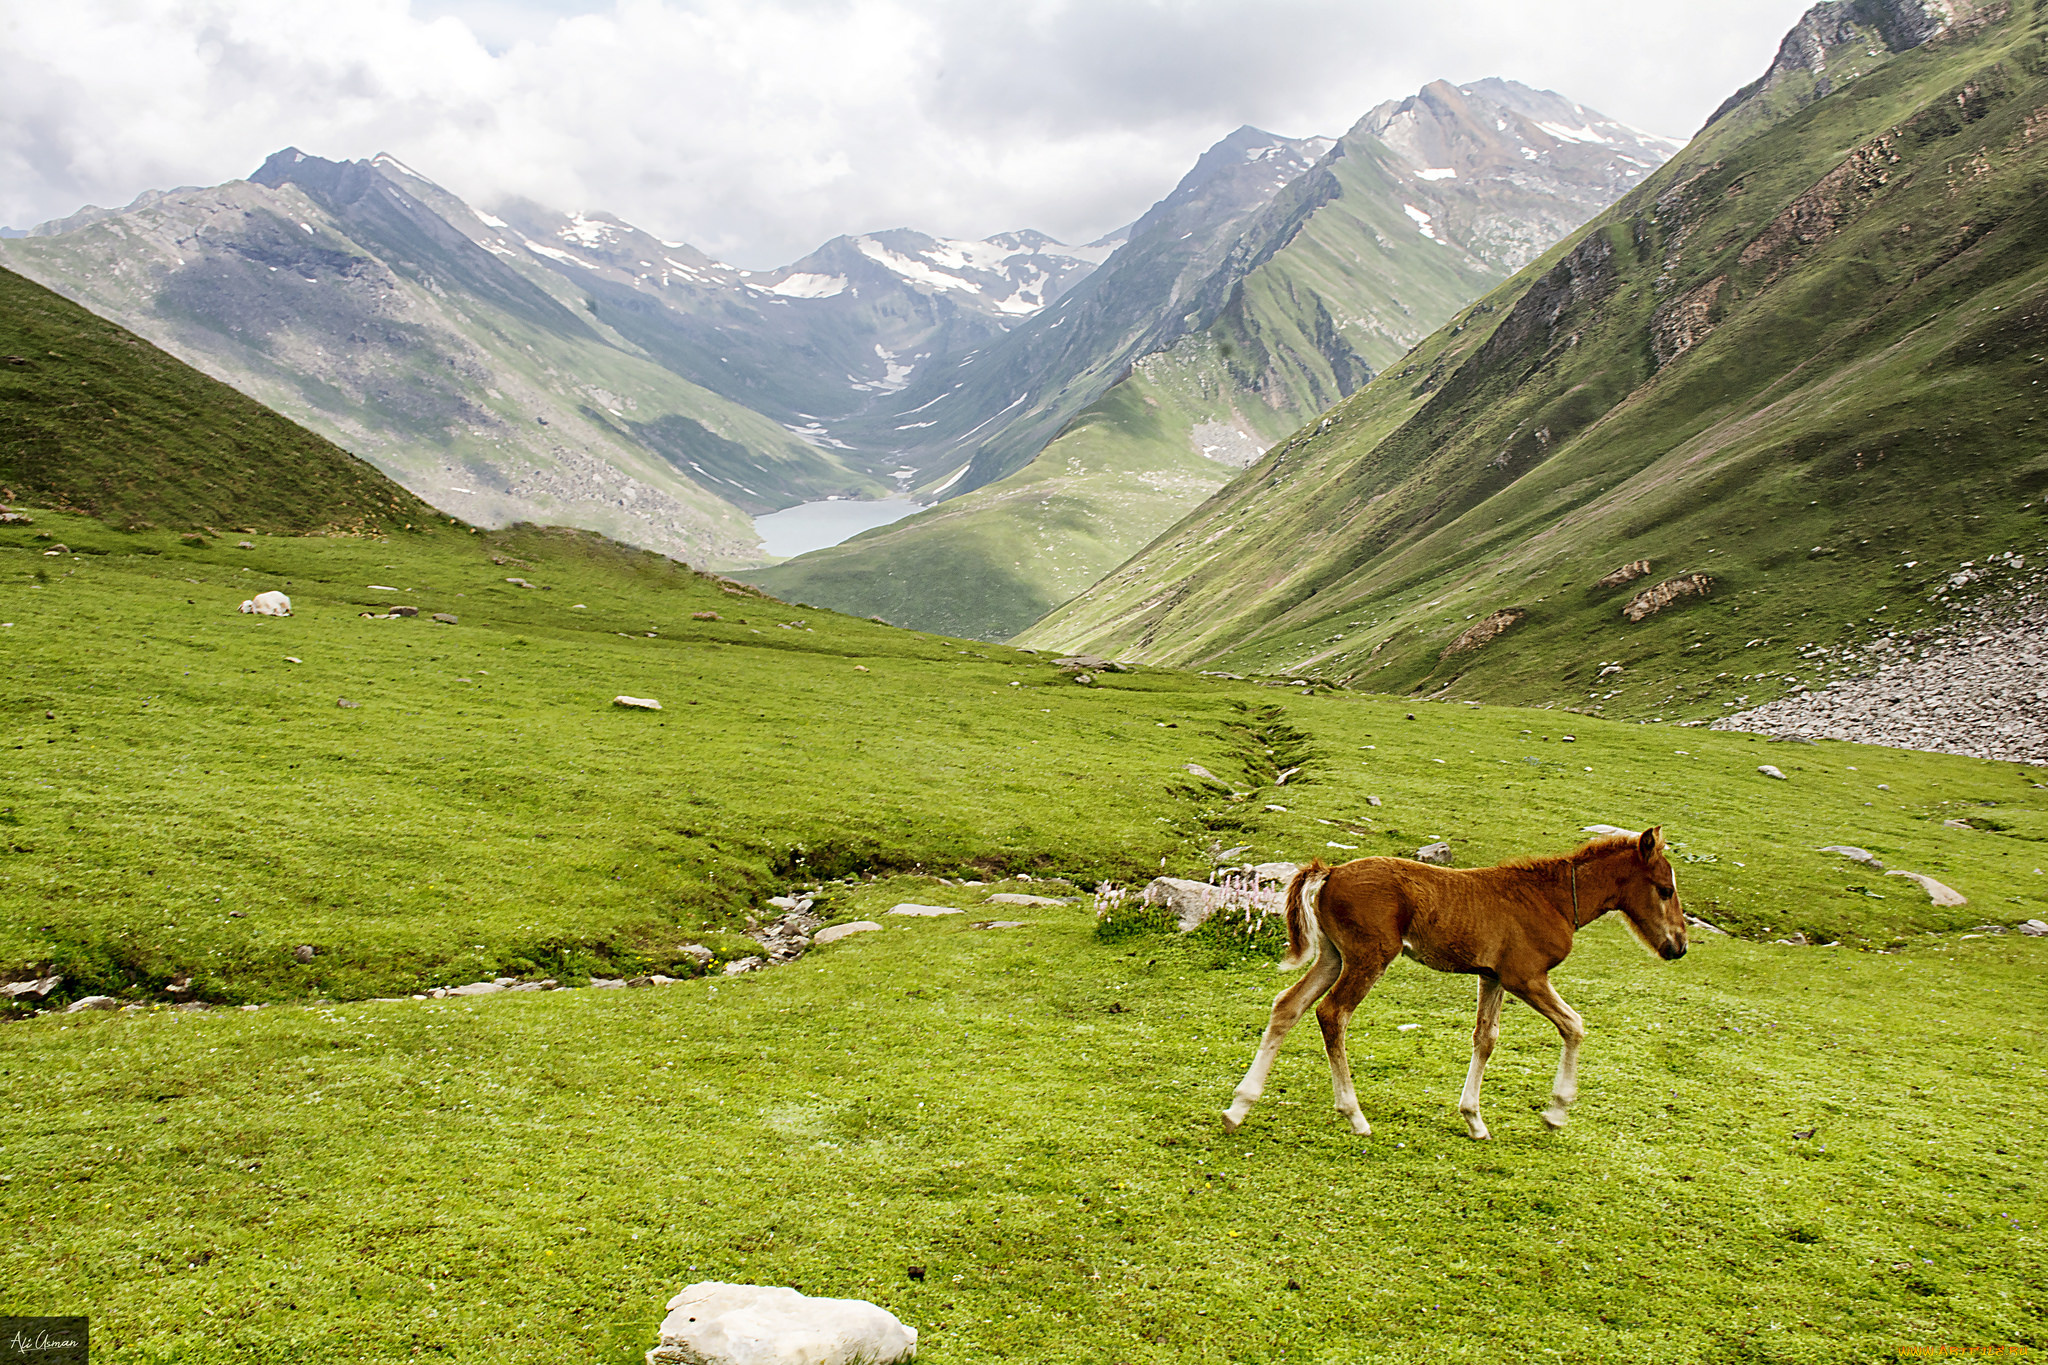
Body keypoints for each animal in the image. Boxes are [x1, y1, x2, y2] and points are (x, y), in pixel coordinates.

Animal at [1220, 826, 1687, 1137]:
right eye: (1665, 889)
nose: (1679, 946)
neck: (1551, 898)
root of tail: (1330, 872)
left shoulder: (1493, 977)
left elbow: (1485, 1038)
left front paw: (1474, 1119)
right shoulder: (1525, 976)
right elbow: (1574, 1025)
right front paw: (1556, 1111)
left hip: (1334, 956)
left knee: (1288, 1006)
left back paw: (1239, 1106)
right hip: (1369, 958)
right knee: (1332, 1013)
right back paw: (1354, 1115)